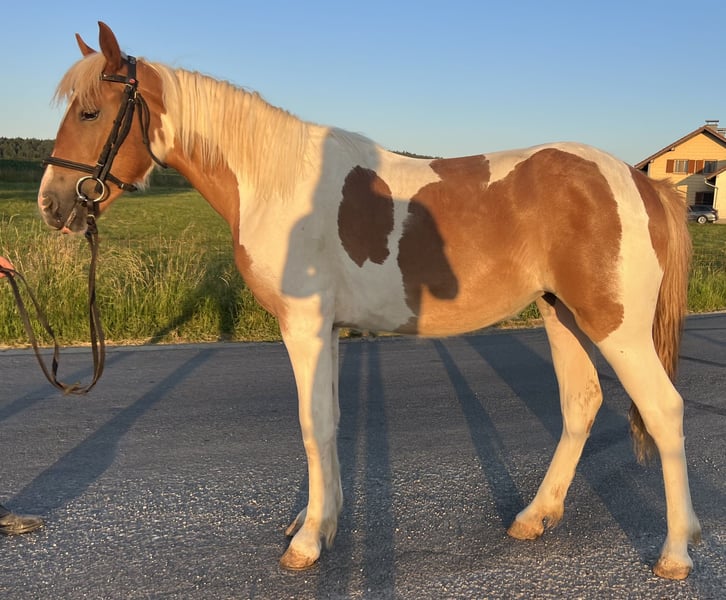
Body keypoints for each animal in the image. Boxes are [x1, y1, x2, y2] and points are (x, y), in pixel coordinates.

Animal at [38, 22, 701, 579]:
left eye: (91, 112)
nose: (51, 203)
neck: (277, 182)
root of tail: (641, 181)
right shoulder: (328, 330)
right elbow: (329, 421)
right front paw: (321, 523)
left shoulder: (304, 326)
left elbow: (311, 424)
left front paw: (306, 543)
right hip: (559, 312)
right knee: (581, 403)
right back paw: (534, 518)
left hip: (615, 325)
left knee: (663, 409)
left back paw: (675, 552)